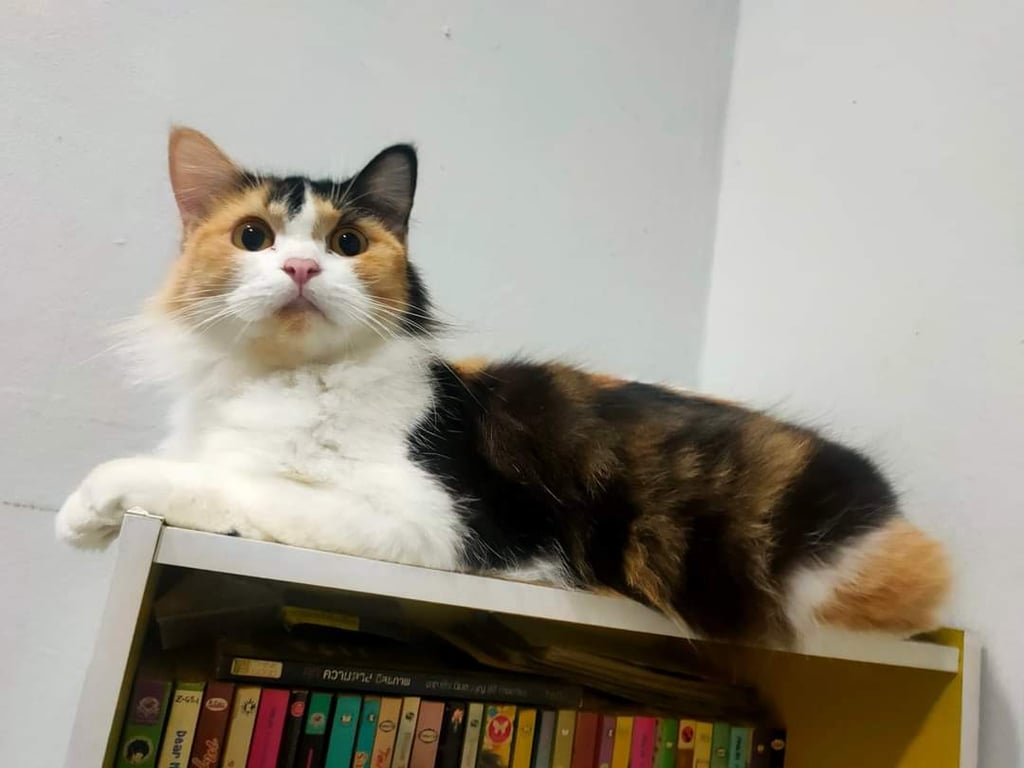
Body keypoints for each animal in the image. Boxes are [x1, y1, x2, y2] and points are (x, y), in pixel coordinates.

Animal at [56, 127, 950, 643]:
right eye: (253, 237)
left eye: (348, 243)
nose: (303, 268)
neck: (284, 378)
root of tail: (895, 510)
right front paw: (84, 522)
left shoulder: (429, 520)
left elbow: (226, 483)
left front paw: (94, 500)